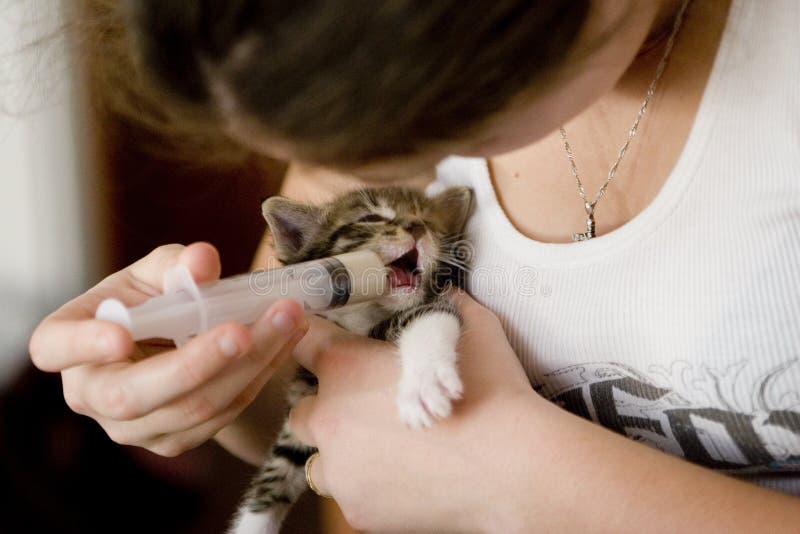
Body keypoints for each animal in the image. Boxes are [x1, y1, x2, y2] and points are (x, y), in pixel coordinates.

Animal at [228, 185, 472, 534]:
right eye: (371, 218)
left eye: (428, 222)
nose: (416, 227)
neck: (363, 319)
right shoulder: (304, 399)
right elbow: (275, 476)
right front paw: (251, 525)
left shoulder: (435, 304)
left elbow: (430, 317)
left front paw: (427, 383)